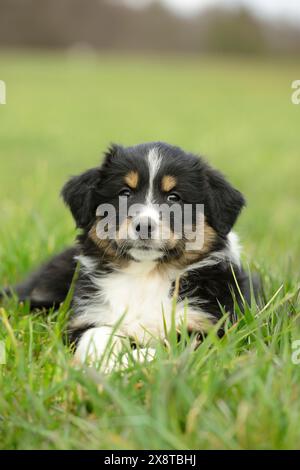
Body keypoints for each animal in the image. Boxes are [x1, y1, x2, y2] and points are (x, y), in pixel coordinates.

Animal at [2, 141, 260, 370]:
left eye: (174, 197)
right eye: (124, 193)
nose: (143, 225)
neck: (145, 276)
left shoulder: (209, 328)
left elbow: (165, 349)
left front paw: (125, 364)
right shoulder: (88, 316)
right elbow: (97, 334)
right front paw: (102, 362)